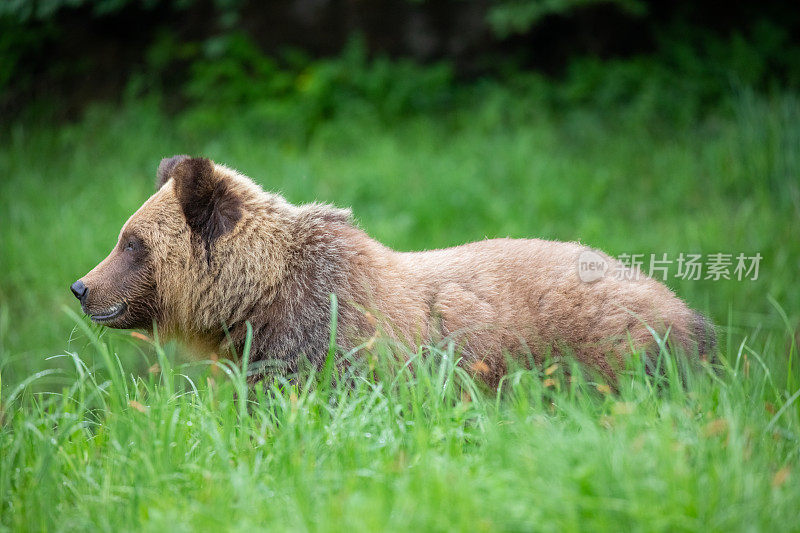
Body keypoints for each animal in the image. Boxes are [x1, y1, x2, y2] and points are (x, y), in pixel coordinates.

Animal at [72, 156, 716, 384]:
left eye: (131, 242)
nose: (81, 287)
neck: (260, 297)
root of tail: (686, 308)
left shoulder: (323, 338)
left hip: (602, 347)